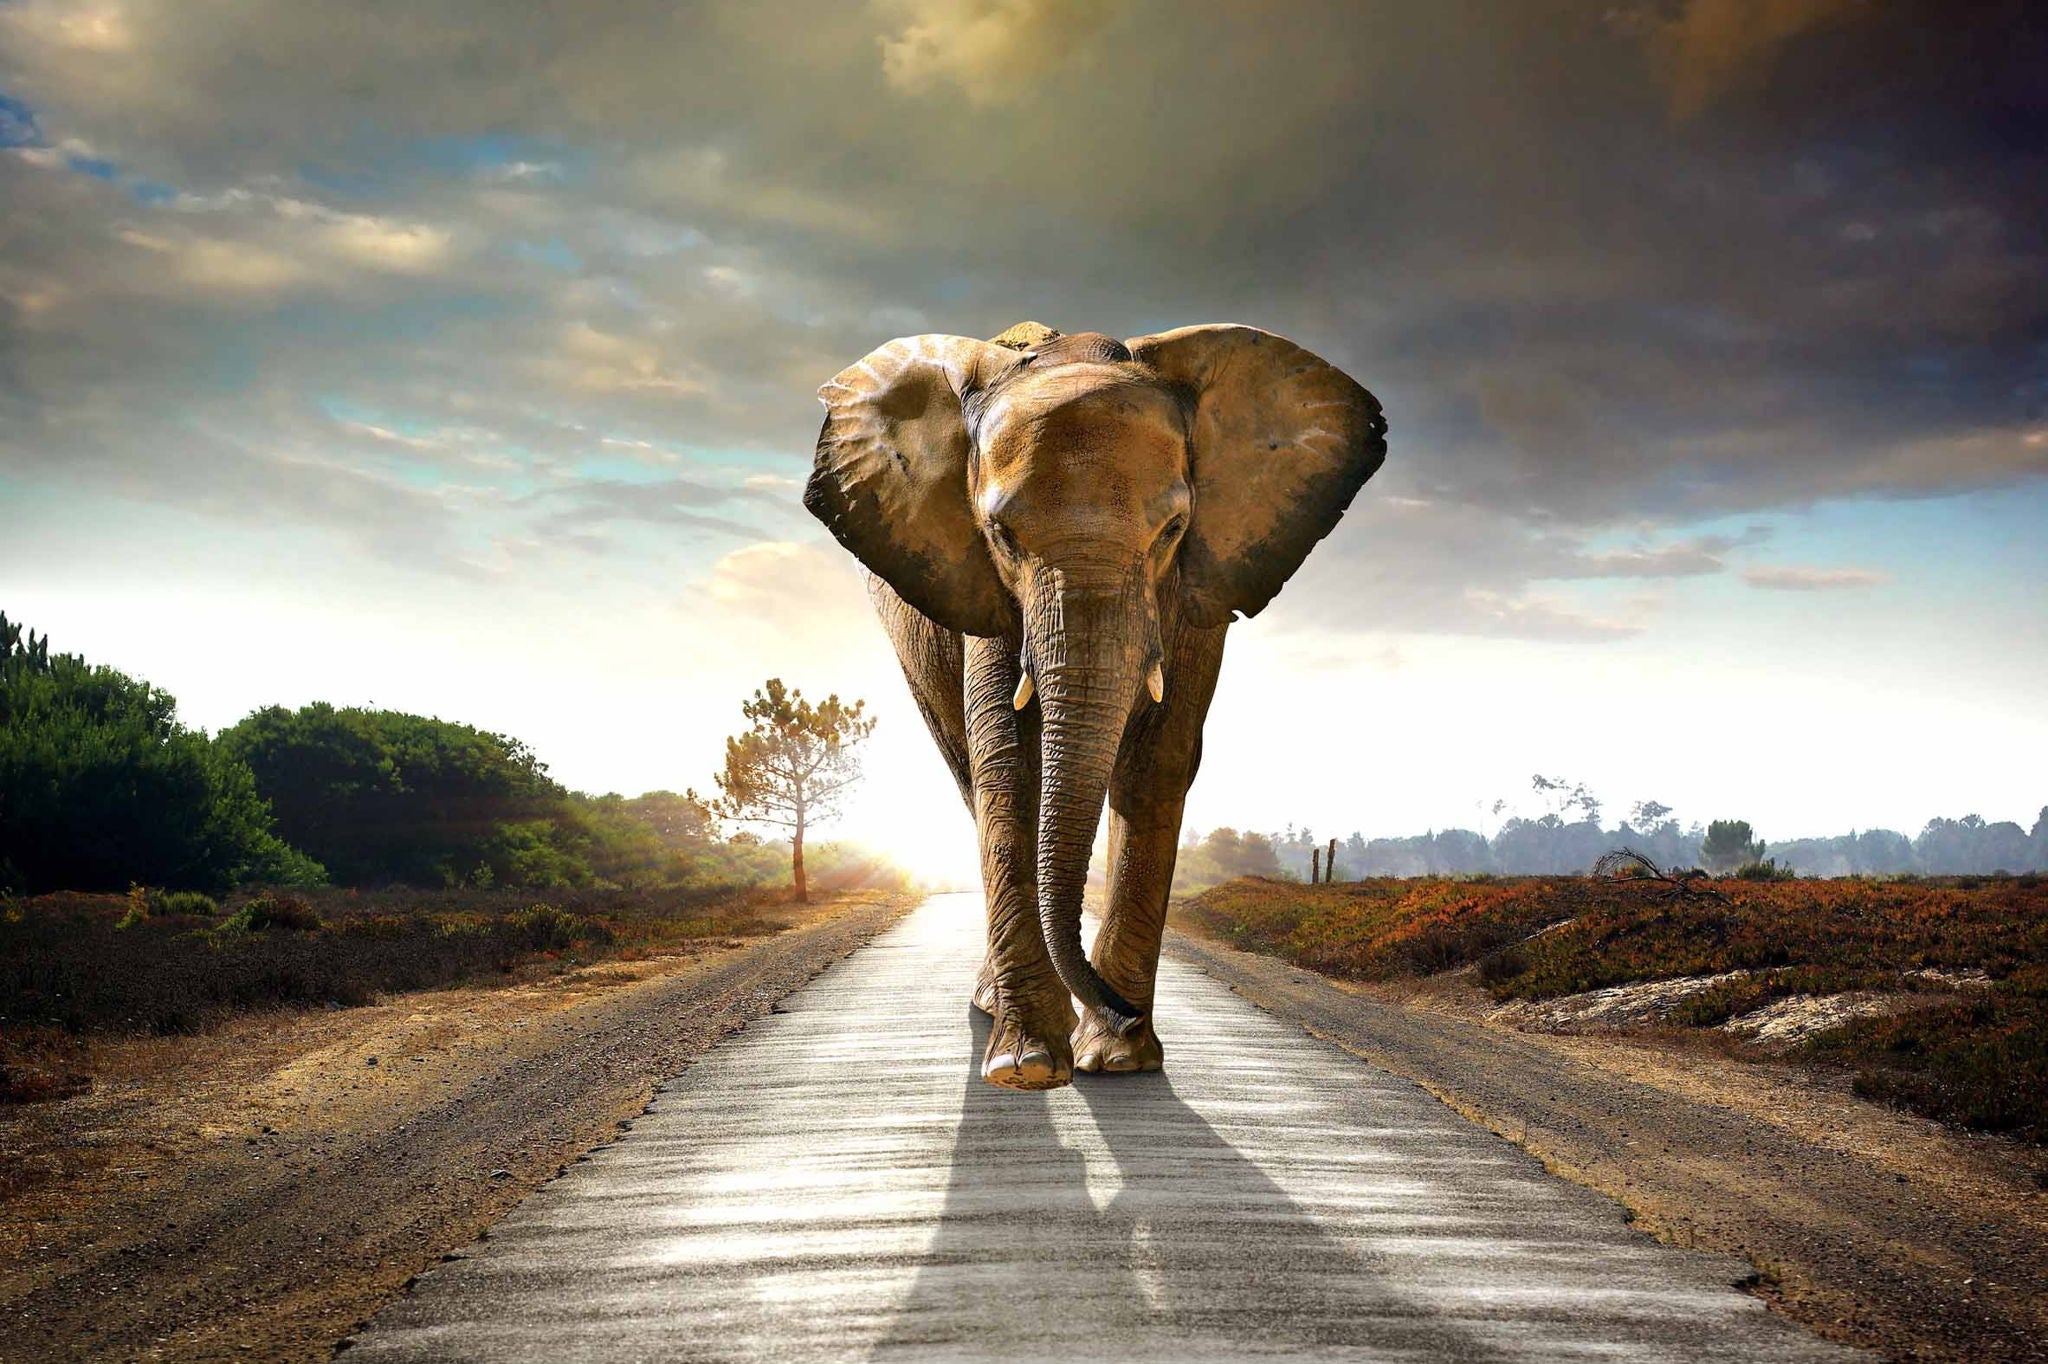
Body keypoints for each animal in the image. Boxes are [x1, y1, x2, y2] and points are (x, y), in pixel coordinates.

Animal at [805, 320, 1386, 1090]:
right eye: (1001, 534)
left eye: (1173, 530)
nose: (1121, 1010)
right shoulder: (984, 589)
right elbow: (1008, 763)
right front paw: (1027, 1066)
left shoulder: (1197, 588)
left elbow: (1157, 761)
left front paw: (1117, 1059)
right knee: (967, 772)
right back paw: (996, 1008)